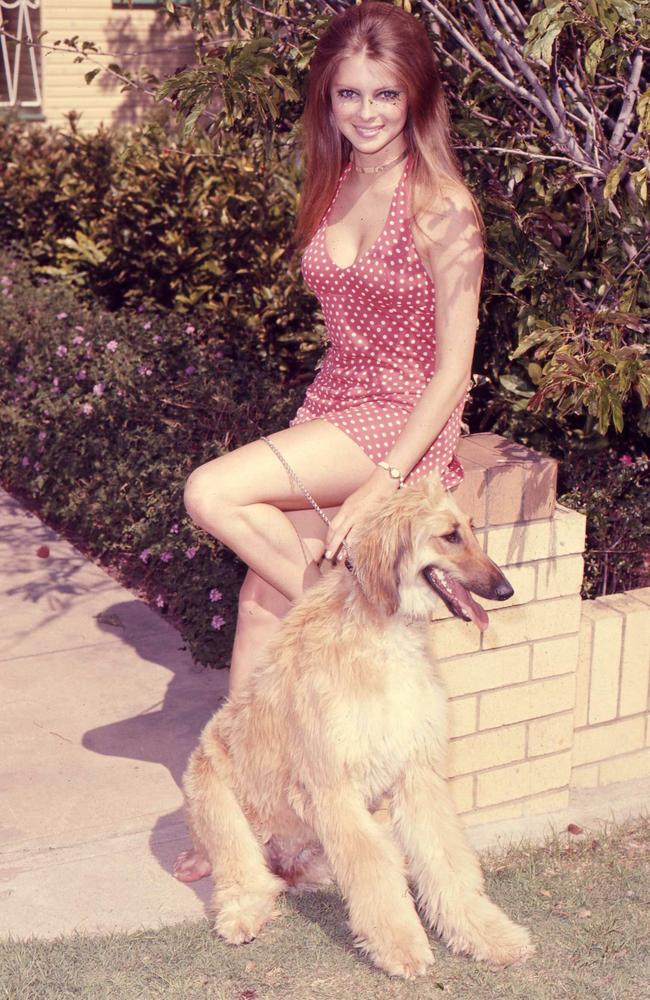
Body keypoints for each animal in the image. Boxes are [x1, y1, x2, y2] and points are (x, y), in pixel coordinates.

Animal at [181, 476, 532, 976]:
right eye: (450, 536)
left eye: (472, 528)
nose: (505, 590)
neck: (383, 635)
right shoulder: (332, 787)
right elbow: (372, 869)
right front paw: (400, 945)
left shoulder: (417, 772)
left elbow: (446, 857)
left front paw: (486, 934)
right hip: (218, 800)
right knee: (248, 876)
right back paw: (243, 912)